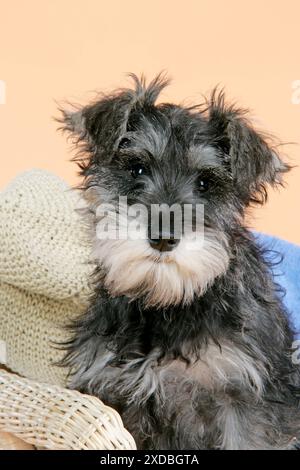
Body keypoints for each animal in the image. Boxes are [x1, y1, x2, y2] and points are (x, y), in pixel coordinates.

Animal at [58, 74, 300, 452]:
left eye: (205, 183)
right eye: (137, 168)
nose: (163, 237)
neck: (168, 304)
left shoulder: (242, 399)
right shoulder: (111, 388)